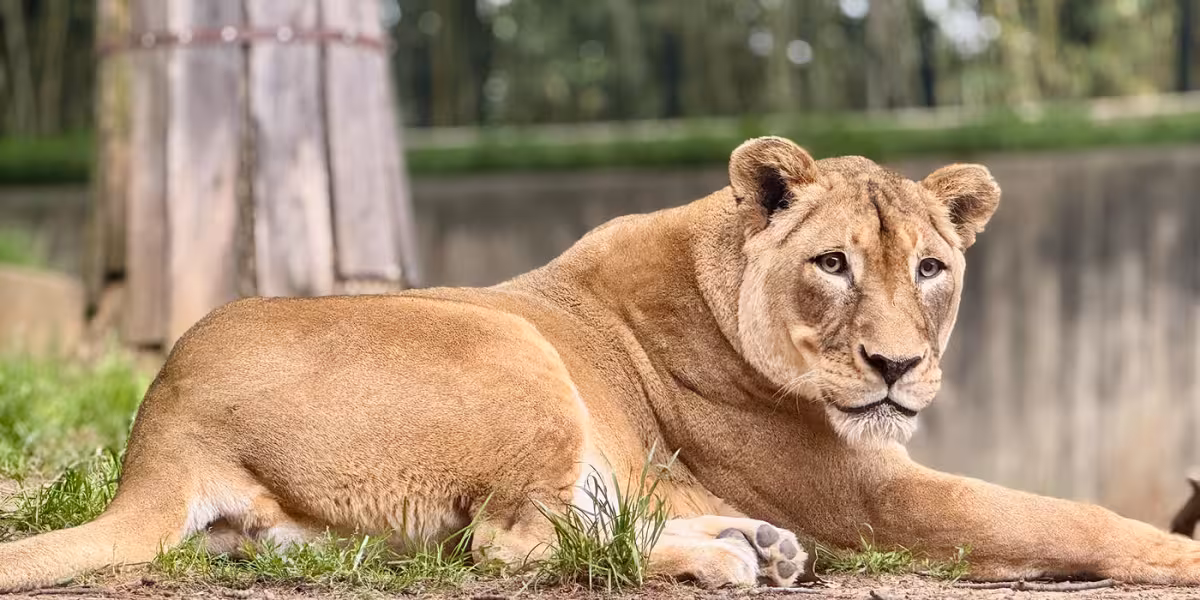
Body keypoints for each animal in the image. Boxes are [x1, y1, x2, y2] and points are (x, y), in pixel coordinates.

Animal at [2, 136, 1199, 591]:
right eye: (832, 265)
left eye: (934, 268)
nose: (897, 367)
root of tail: (161, 430)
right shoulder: (870, 497)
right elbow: (1064, 517)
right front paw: (1179, 554)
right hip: (512, 344)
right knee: (510, 543)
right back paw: (736, 559)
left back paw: (751, 547)